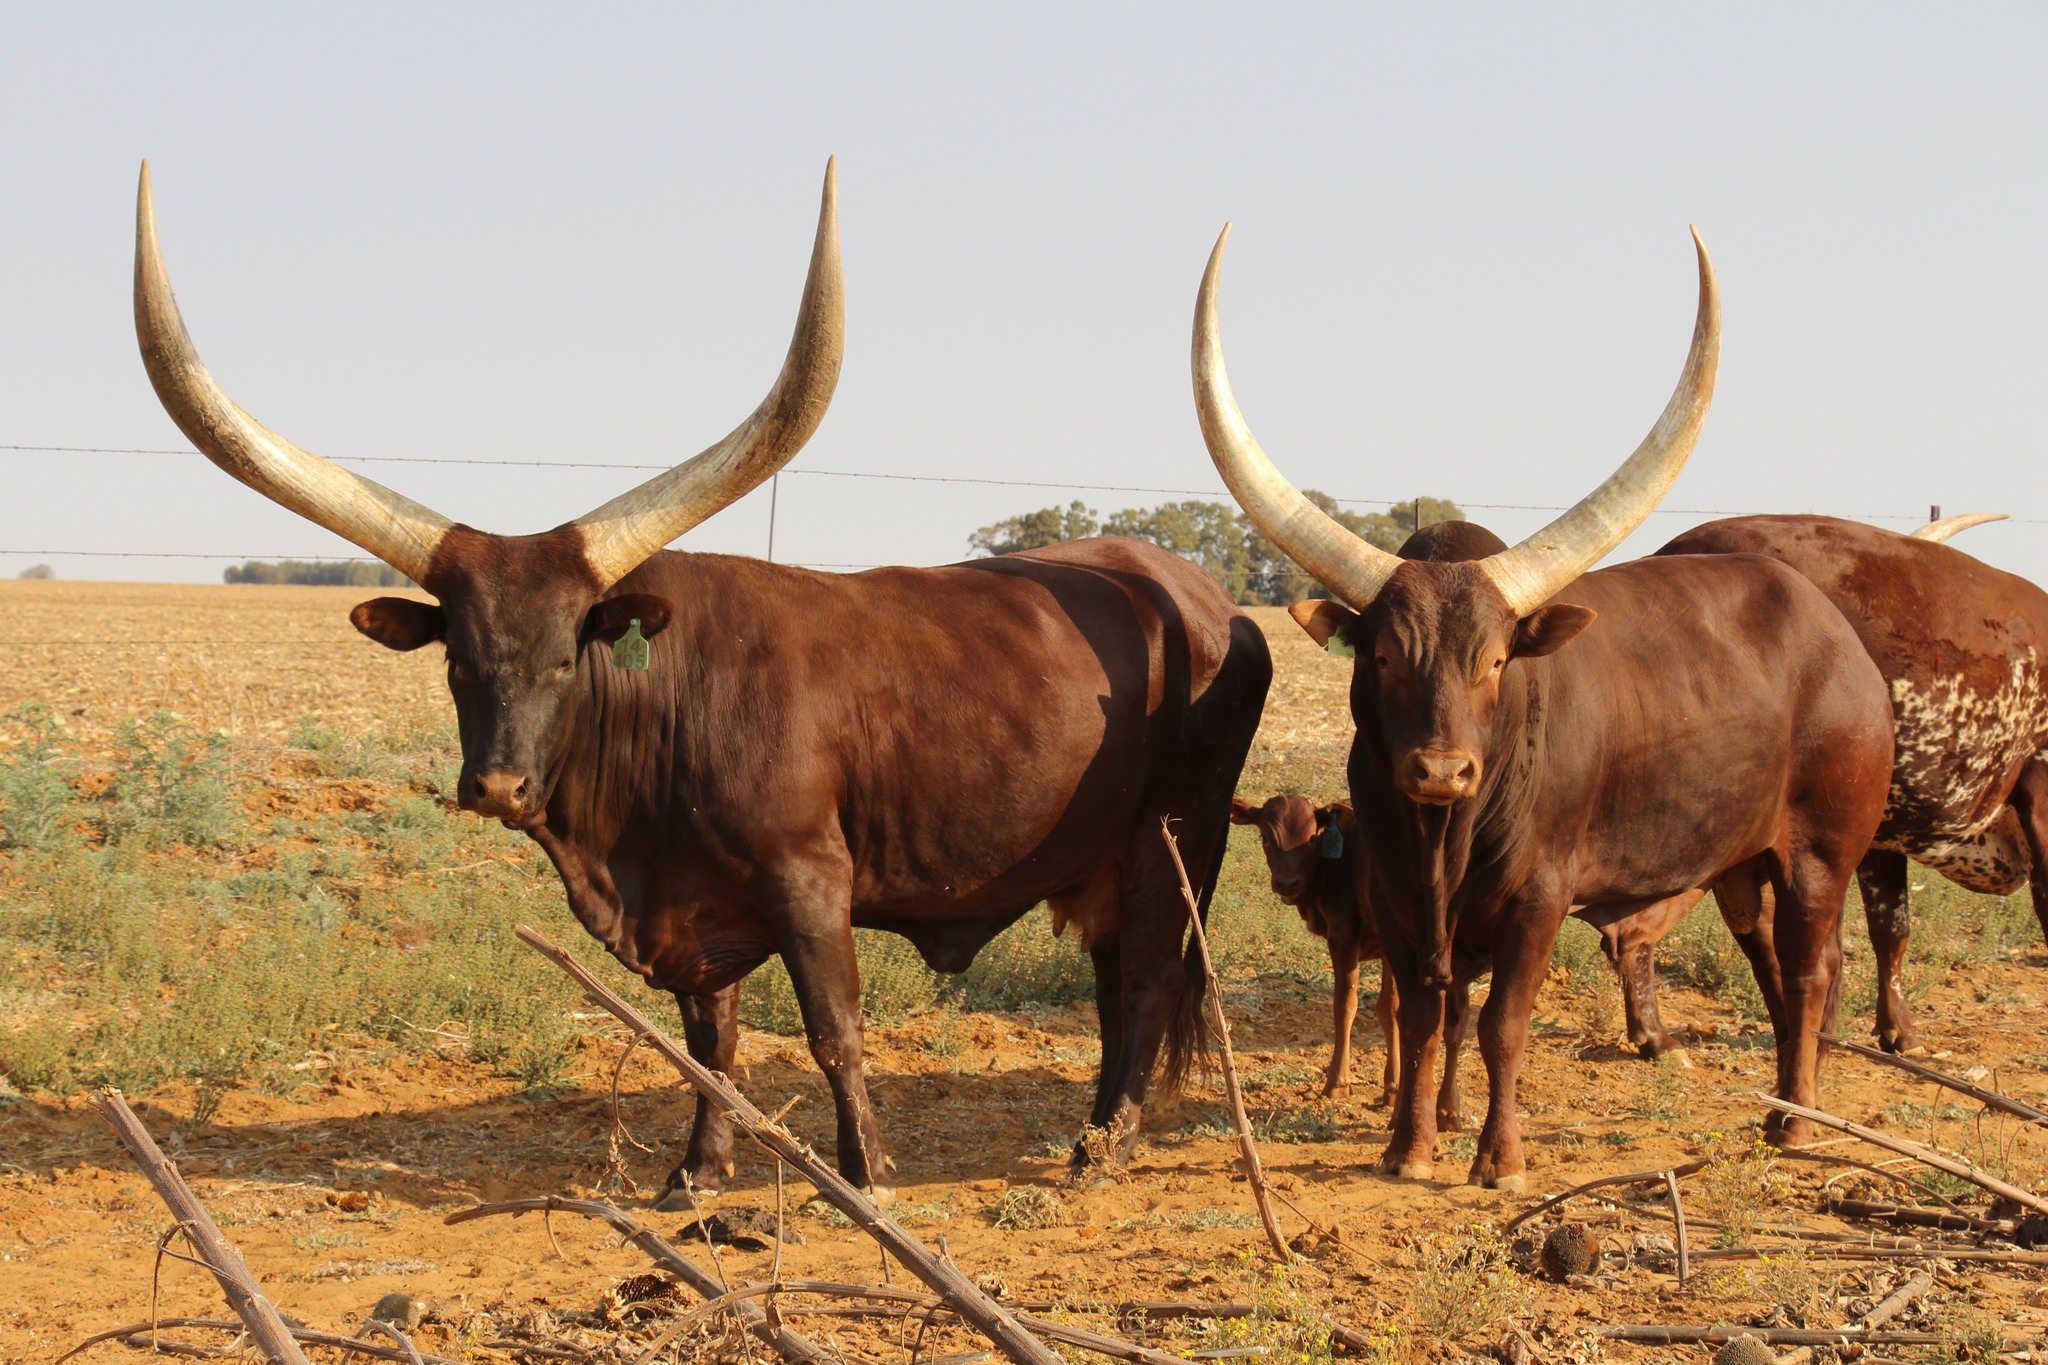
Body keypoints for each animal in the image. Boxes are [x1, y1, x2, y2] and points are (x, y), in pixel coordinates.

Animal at [132, 161, 1273, 1204]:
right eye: (458, 658)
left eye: (566, 655)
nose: (496, 787)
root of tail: (1197, 591)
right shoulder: (688, 915)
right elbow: (709, 1046)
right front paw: (695, 1174)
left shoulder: (811, 878)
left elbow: (832, 1030)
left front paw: (864, 1177)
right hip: (1110, 857)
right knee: (1115, 983)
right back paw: (1090, 1132)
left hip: (1176, 842)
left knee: (1149, 979)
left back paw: (1104, 1147)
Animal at [1189, 222, 1897, 1189]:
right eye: (1383, 654)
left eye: (1495, 660)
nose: (1440, 770)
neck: (1442, 839)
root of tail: (1841, 638)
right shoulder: (1398, 895)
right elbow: (1419, 1017)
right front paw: (1409, 1147)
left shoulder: (1539, 898)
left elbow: (1499, 1025)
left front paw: (1500, 1159)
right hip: (1742, 862)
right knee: (1773, 962)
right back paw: (1784, 1107)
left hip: (1824, 848)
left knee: (1814, 963)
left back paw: (1795, 1120)